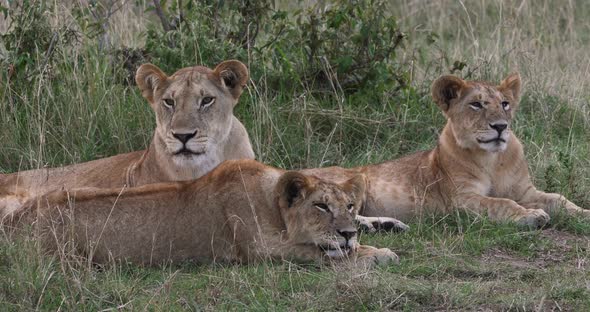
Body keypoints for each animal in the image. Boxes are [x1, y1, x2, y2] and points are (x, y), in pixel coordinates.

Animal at [8, 160, 398, 266]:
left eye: (349, 206)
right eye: (320, 206)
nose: (348, 232)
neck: (270, 202)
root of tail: (13, 219)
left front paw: (372, 240)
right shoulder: (259, 251)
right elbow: (324, 255)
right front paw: (376, 253)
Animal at [308, 74, 588, 228]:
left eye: (505, 104)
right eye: (476, 105)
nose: (500, 126)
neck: (492, 160)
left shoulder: (525, 191)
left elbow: (559, 198)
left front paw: (583, 214)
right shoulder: (460, 200)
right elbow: (501, 202)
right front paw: (531, 216)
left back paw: (390, 226)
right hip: (354, 182)